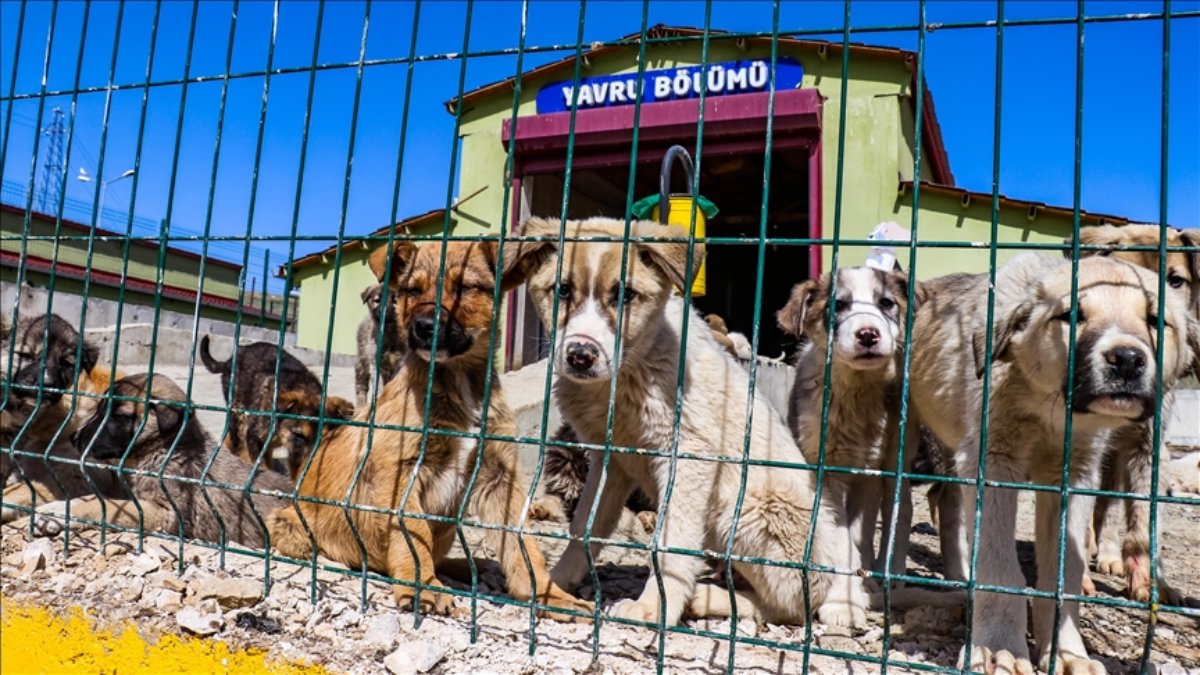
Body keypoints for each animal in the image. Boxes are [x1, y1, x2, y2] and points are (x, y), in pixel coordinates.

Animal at [28, 369, 295, 542]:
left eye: (117, 416)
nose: (74, 438)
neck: (166, 450)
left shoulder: (166, 513)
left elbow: (102, 506)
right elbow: (96, 499)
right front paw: (53, 510)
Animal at [199, 333, 350, 475]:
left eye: (324, 439)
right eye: (299, 435)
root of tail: (229, 360)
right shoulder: (253, 436)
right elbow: (262, 465)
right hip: (238, 414)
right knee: (237, 443)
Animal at [270, 239, 592, 619]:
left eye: (464, 287)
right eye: (411, 290)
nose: (424, 326)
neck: (457, 382)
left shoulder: (501, 479)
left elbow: (523, 545)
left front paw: (549, 595)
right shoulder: (401, 472)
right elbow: (413, 532)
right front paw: (423, 586)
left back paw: (471, 567)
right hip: (288, 521)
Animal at [907, 253, 1200, 672]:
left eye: (1156, 320)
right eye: (1071, 315)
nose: (1127, 360)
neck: (1051, 409)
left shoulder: (1075, 476)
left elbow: (1065, 573)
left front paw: (1067, 653)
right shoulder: (992, 463)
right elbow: (999, 566)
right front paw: (998, 648)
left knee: (944, 501)